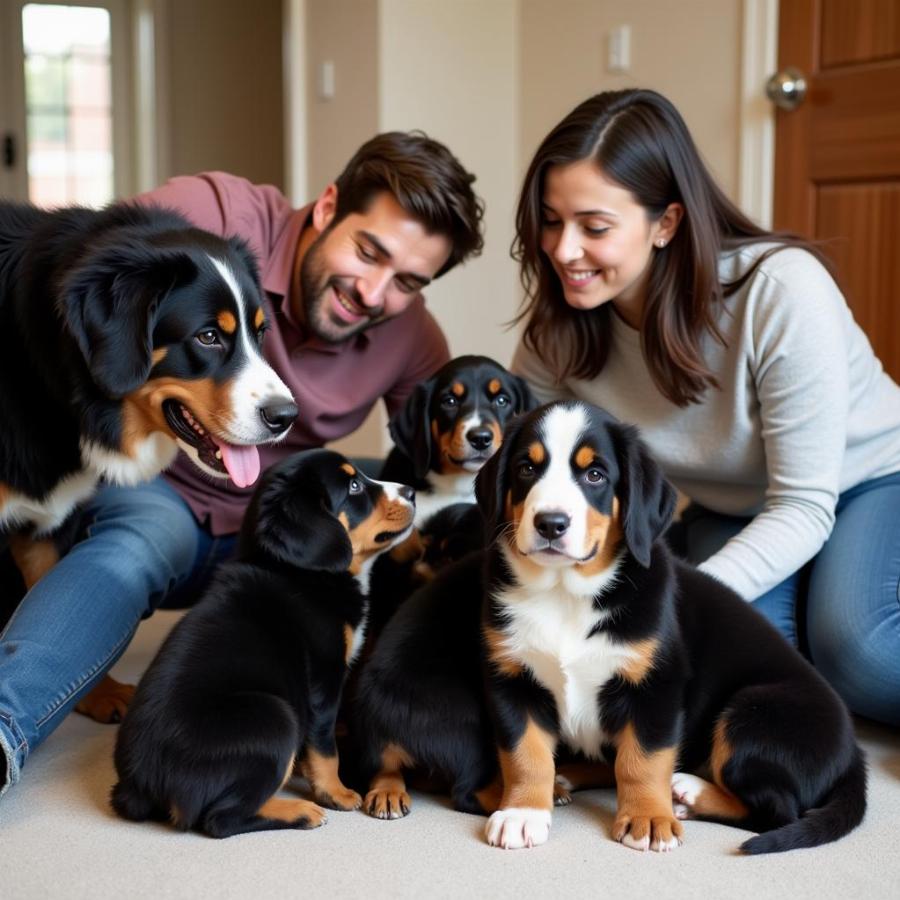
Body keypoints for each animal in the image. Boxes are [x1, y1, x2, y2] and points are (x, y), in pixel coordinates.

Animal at [113, 448, 418, 836]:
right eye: (354, 487)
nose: (410, 491)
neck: (301, 571)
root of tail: (140, 784)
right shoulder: (324, 677)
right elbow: (325, 746)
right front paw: (335, 793)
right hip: (276, 715)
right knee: (219, 819)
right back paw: (301, 811)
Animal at [350, 402, 864, 856]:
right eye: (526, 469)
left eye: (595, 475)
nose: (551, 523)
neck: (564, 593)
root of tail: (852, 752)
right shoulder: (511, 677)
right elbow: (525, 755)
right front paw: (523, 812)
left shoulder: (656, 683)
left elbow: (642, 759)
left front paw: (648, 819)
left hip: (752, 711)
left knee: (778, 808)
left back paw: (686, 790)